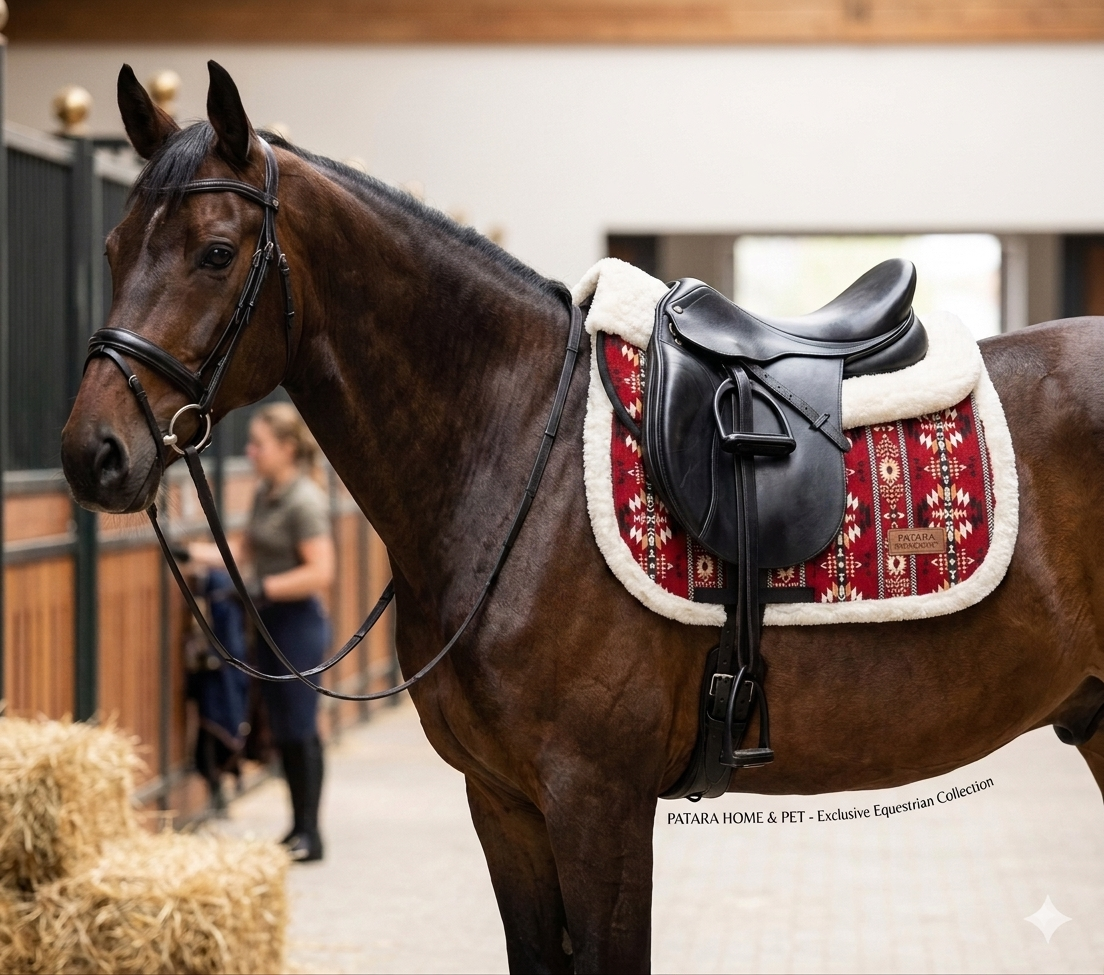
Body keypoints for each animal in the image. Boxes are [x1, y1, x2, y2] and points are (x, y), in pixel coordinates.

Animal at [61, 61, 1104, 973]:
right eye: (109, 251)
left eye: (215, 252)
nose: (91, 452)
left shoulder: (596, 799)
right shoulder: (504, 802)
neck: (519, 448)